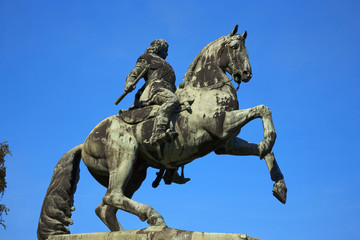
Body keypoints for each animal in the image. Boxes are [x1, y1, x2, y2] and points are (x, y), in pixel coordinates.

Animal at [37, 25, 286, 239]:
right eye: (235, 46)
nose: (246, 74)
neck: (205, 89)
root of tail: (84, 142)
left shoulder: (225, 143)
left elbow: (262, 149)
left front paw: (279, 185)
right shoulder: (222, 125)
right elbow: (263, 109)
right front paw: (270, 138)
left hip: (136, 172)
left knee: (105, 207)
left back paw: (127, 231)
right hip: (125, 157)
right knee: (112, 196)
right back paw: (154, 218)